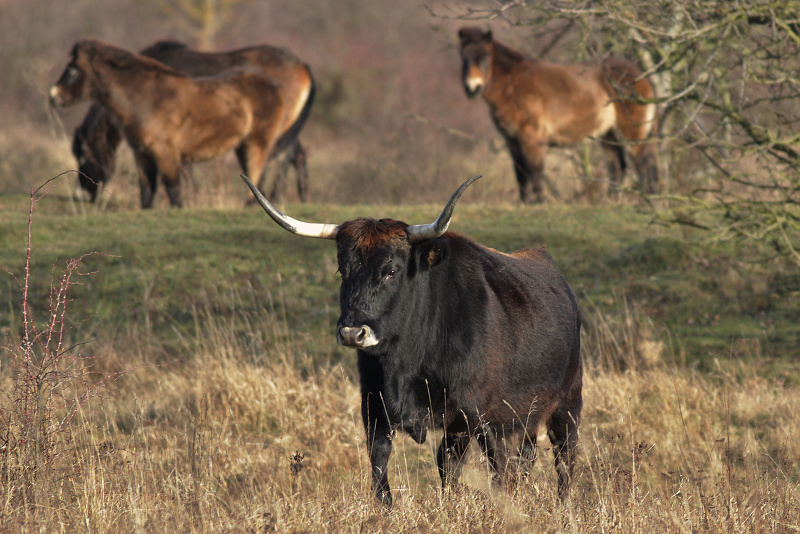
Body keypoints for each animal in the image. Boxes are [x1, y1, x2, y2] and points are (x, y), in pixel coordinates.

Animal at [49, 37, 290, 208]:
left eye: (72, 71)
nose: (54, 96)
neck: (144, 97)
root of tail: (275, 86)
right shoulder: (142, 154)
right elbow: (147, 192)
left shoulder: (166, 153)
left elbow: (174, 192)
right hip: (242, 146)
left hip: (257, 143)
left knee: (258, 177)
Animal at [241, 176, 584, 506]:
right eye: (342, 270)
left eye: (391, 271)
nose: (352, 333)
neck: (407, 359)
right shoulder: (373, 406)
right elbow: (379, 465)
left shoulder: (464, 415)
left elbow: (448, 467)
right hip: (516, 418)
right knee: (518, 461)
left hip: (567, 404)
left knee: (563, 461)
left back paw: (563, 508)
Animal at [460, 26, 660, 205]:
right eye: (464, 57)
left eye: (486, 57)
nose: (472, 88)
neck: (514, 84)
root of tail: (642, 76)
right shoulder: (512, 140)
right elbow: (520, 173)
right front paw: (524, 203)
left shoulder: (532, 138)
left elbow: (535, 171)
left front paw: (538, 203)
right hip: (608, 134)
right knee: (618, 167)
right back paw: (612, 202)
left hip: (632, 133)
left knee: (643, 163)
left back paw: (648, 202)